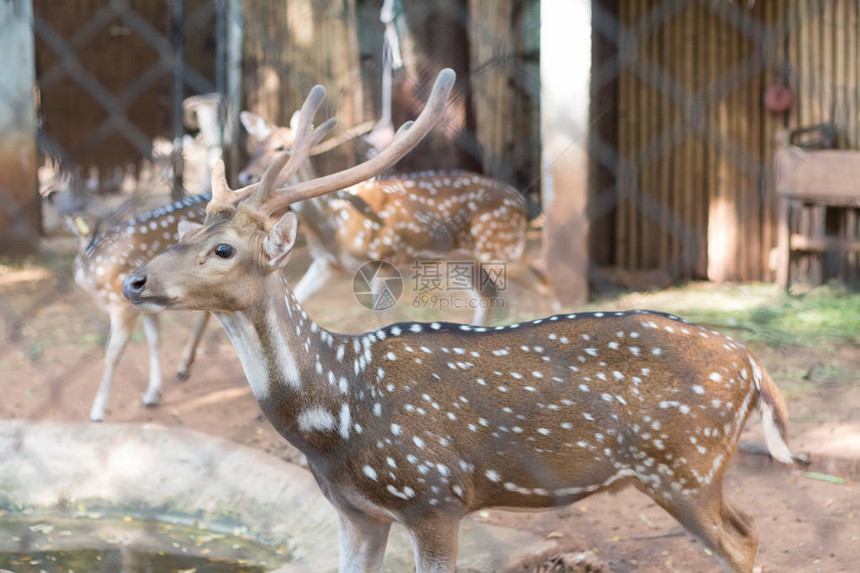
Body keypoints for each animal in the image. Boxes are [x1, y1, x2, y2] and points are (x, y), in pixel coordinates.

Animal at [237, 109, 532, 324]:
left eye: (279, 147)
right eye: (255, 146)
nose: (245, 175)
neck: (333, 220)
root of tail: (521, 201)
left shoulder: (382, 260)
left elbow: (382, 319)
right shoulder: (325, 264)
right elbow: (298, 295)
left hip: (502, 246)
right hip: (460, 260)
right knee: (487, 296)